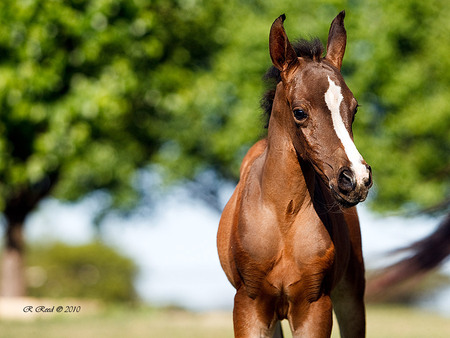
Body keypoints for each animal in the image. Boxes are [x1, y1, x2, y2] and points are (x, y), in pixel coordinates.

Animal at [218, 11, 372, 338]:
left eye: (354, 109)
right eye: (299, 112)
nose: (355, 179)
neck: (283, 217)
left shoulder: (315, 306)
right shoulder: (248, 305)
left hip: (352, 295)